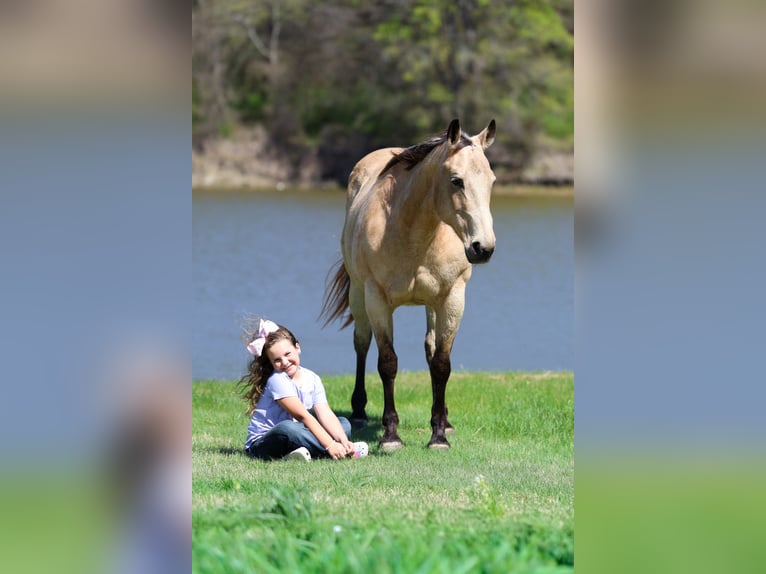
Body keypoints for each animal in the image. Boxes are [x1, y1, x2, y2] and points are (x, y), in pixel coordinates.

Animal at [321, 118, 496, 450]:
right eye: (456, 181)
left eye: (491, 181)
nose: (483, 248)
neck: (413, 233)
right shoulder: (377, 300)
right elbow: (387, 363)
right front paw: (391, 435)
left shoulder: (452, 298)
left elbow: (441, 362)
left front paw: (439, 434)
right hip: (358, 295)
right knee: (361, 343)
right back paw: (359, 411)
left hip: (431, 305)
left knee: (430, 347)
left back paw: (445, 418)